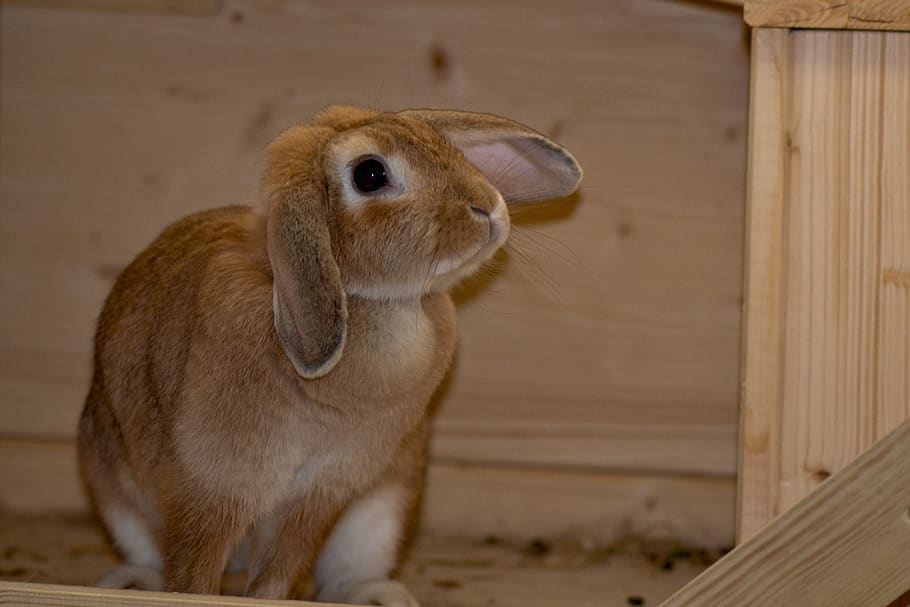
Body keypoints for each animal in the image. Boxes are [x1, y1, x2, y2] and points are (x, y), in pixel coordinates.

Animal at [77, 105, 582, 603]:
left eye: (442, 144)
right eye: (370, 175)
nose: (487, 207)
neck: (367, 302)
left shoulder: (322, 491)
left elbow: (278, 572)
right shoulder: (211, 484)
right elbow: (193, 572)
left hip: (378, 515)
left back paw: (378, 595)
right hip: (113, 488)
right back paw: (129, 583)